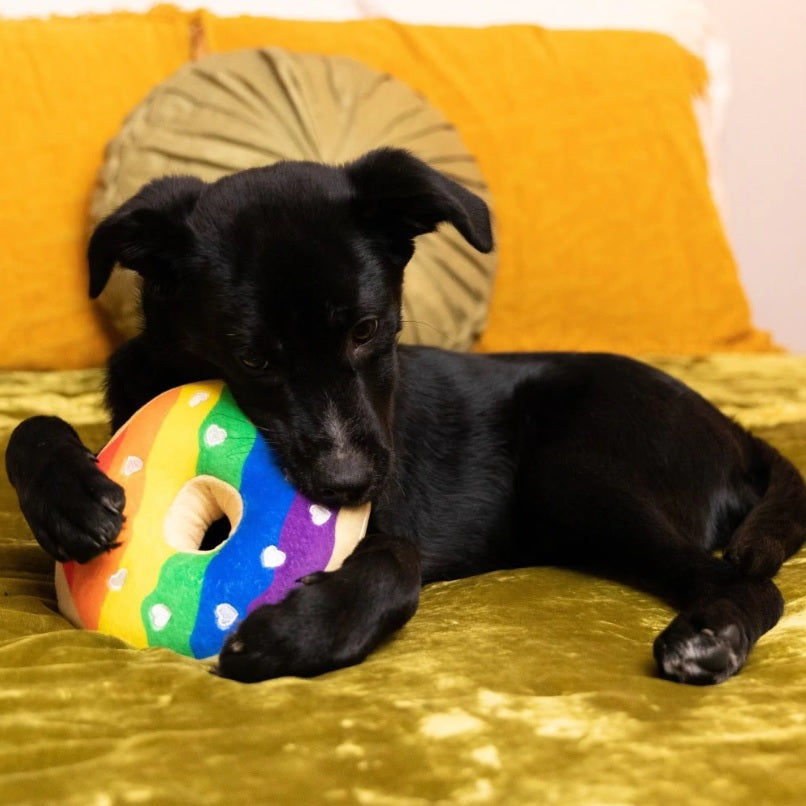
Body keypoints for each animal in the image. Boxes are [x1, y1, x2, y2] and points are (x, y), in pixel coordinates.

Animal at [7, 148, 806, 685]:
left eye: (368, 330)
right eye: (252, 358)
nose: (350, 485)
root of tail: (736, 431)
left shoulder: (384, 520)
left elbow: (399, 562)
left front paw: (299, 634)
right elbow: (31, 427)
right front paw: (70, 498)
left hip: (578, 470)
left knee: (752, 583)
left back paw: (709, 639)